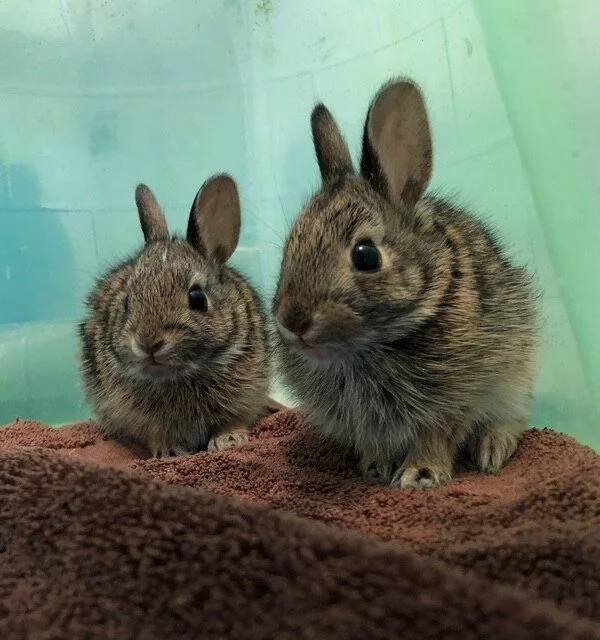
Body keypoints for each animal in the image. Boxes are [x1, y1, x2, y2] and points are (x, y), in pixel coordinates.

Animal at [79, 175, 269, 457]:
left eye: (197, 298)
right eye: (127, 302)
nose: (148, 343)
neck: (181, 374)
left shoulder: (246, 394)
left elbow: (231, 420)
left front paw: (229, 440)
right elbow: (157, 433)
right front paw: (169, 450)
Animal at [272, 79, 539, 489]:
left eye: (366, 256)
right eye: (289, 248)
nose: (293, 321)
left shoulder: (455, 395)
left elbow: (437, 434)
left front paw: (420, 475)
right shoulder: (366, 421)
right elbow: (375, 441)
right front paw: (374, 468)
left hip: (518, 373)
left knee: (512, 418)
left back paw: (492, 451)